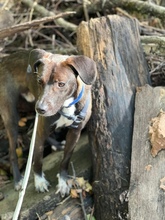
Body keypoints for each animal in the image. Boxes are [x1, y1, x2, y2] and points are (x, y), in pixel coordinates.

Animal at [0, 48, 96, 196]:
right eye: (39, 81)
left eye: (61, 84)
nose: (41, 109)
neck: (65, 105)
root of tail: (5, 59)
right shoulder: (41, 131)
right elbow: (38, 159)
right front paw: (39, 181)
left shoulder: (75, 132)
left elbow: (66, 159)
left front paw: (63, 181)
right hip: (12, 116)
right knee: (12, 151)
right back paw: (17, 180)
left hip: (31, 107)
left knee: (33, 133)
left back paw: (56, 144)